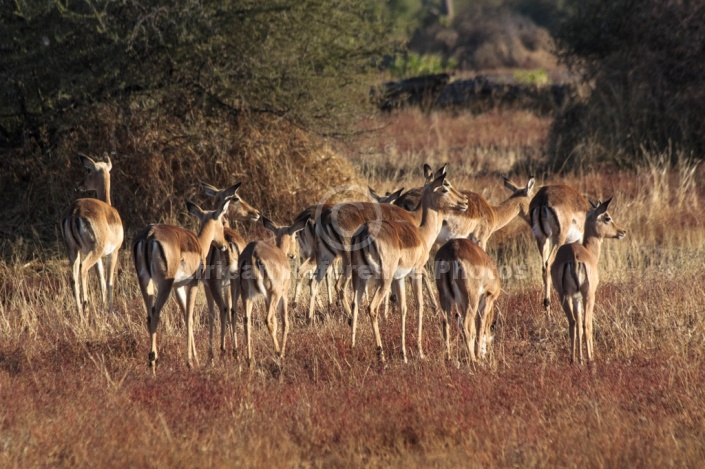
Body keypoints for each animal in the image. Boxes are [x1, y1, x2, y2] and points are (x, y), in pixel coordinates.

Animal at [61, 154, 124, 318]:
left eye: (88, 170)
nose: (79, 185)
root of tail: (74, 212)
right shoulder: (113, 252)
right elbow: (109, 281)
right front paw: (109, 309)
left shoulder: (100, 257)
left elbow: (101, 280)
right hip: (93, 250)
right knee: (83, 269)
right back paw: (86, 306)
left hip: (73, 250)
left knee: (73, 277)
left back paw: (79, 311)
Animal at [132, 196, 231, 372]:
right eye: (222, 221)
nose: (224, 245)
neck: (199, 244)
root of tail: (149, 236)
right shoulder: (193, 283)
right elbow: (190, 317)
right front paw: (190, 362)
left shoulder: (177, 287)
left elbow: (185, 316)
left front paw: (195, 358)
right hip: (164, 284)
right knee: (156, 313)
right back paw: (153, 361)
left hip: (145, 281)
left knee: (149, 315)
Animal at [552, 197, 628, 366]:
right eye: (607, 217)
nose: (622, 231)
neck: (589, 251)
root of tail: (574, 257)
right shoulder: (589, 295)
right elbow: (587, 324)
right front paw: (588, 357)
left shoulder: (576, 298)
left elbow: (578, 324)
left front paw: (580, 358)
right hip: (588, 295)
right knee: (587, 324)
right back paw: (590, 360)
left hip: (564, 296)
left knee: (573, 323)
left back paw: (574, 360)